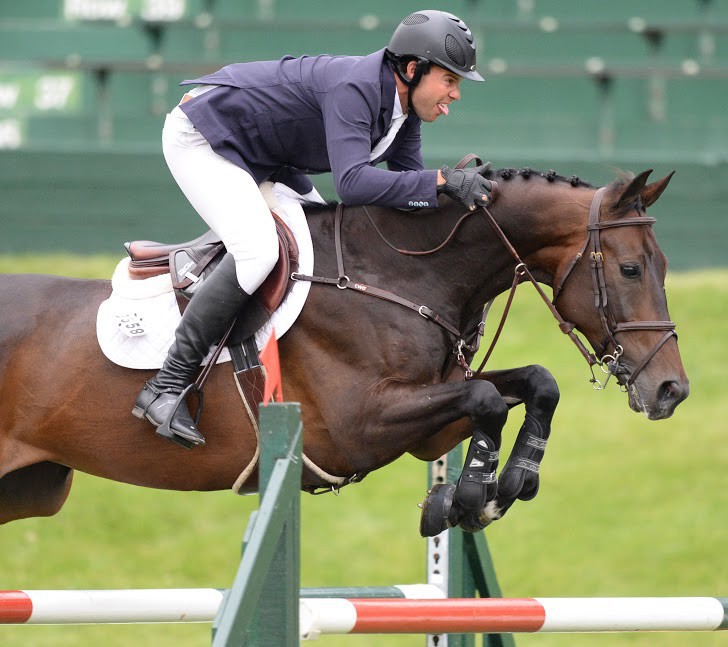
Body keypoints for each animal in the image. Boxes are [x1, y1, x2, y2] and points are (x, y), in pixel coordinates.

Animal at [0, 165, 688, 536]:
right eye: (630, 269)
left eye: (662, 265)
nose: (671, 390)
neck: (396, 272)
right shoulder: (360, 426)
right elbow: (489, 398)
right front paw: (470, 499)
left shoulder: (429, 430)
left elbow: (533, 383)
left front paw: (497, 485)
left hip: (28, 489)